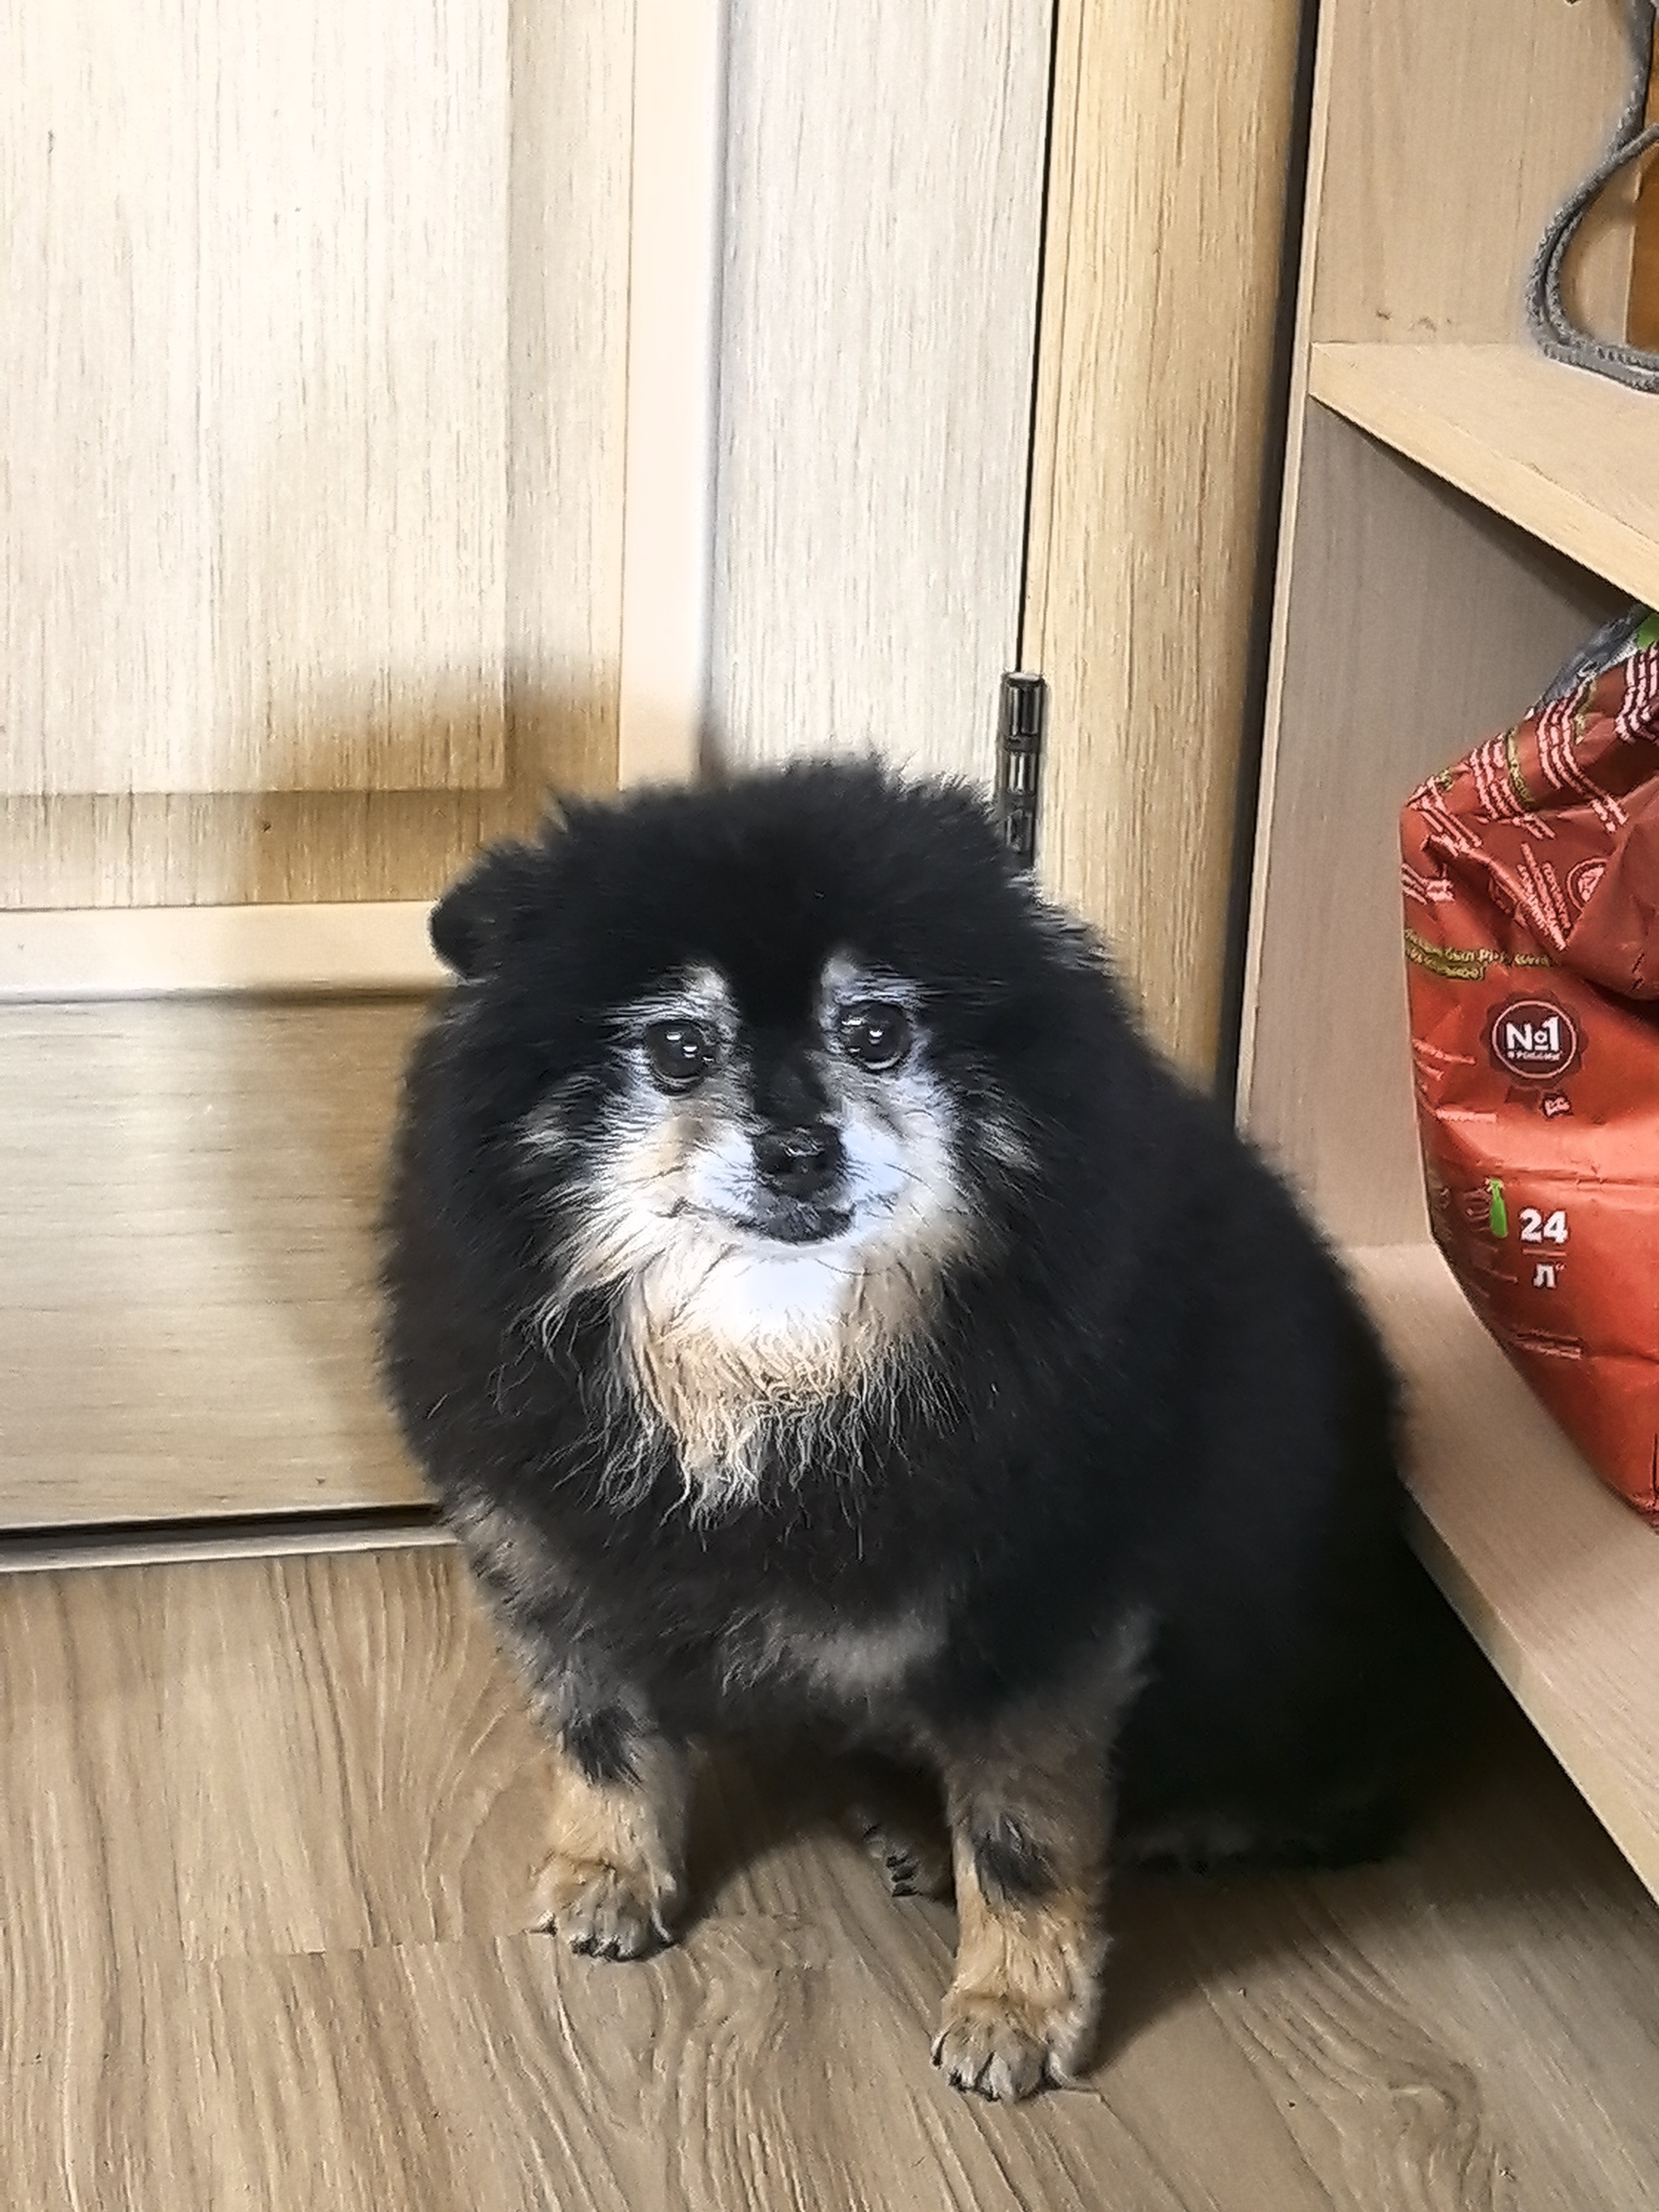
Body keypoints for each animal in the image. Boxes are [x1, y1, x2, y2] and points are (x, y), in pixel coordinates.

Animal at [381, 761, 1439, 2101]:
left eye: (874, 1032)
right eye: (679, 1046)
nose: (798, 1146)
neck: (776, 1362)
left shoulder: (1041, 1614)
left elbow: (1027, 1836)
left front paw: (1013, 2005)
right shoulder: (555, 1547)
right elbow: (601, 1732)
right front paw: (610, 1871)